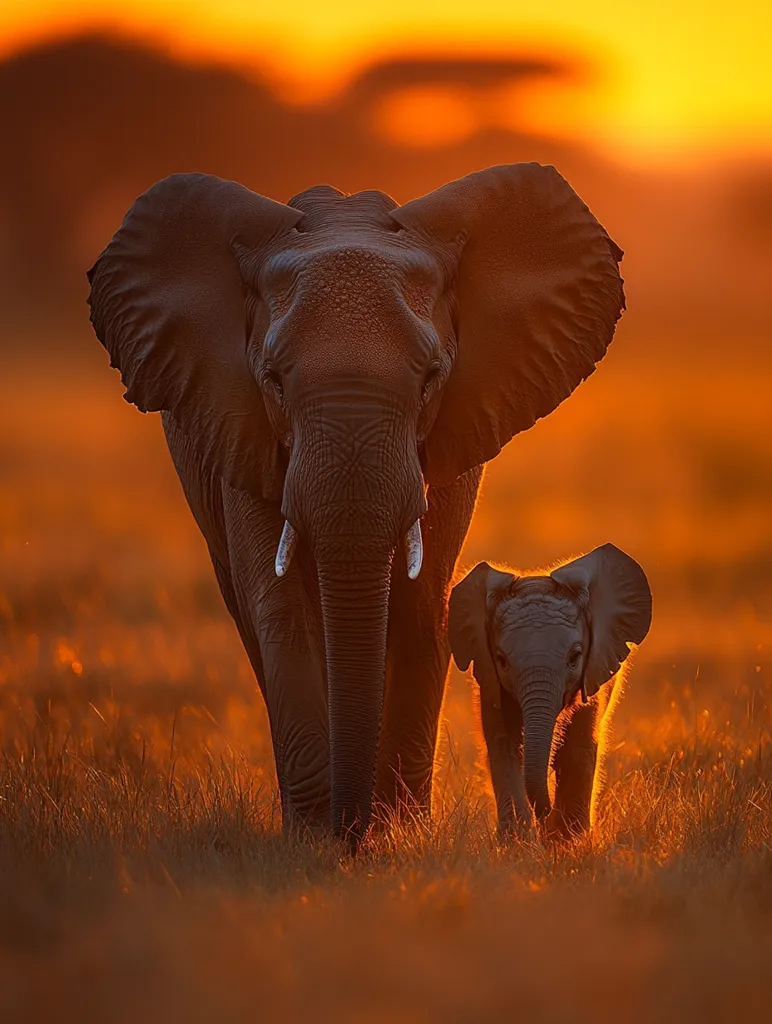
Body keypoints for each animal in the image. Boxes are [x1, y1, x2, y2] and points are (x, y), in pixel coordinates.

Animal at [86, 162, 625, 847]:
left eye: (430, 379)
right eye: (273, 381)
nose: (352, 830)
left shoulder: (450, 439)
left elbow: (424, 606)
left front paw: (400, 834)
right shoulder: (241, 424)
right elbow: (282, 610)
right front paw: (317, 841)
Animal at [449, 544, 651, 837]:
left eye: (575, 657)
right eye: (501, 659)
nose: (544, 815)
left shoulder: (592, 678)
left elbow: (578, 746)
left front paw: (567, 839)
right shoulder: (490, 684)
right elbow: (505, 744)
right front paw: (517, 839)